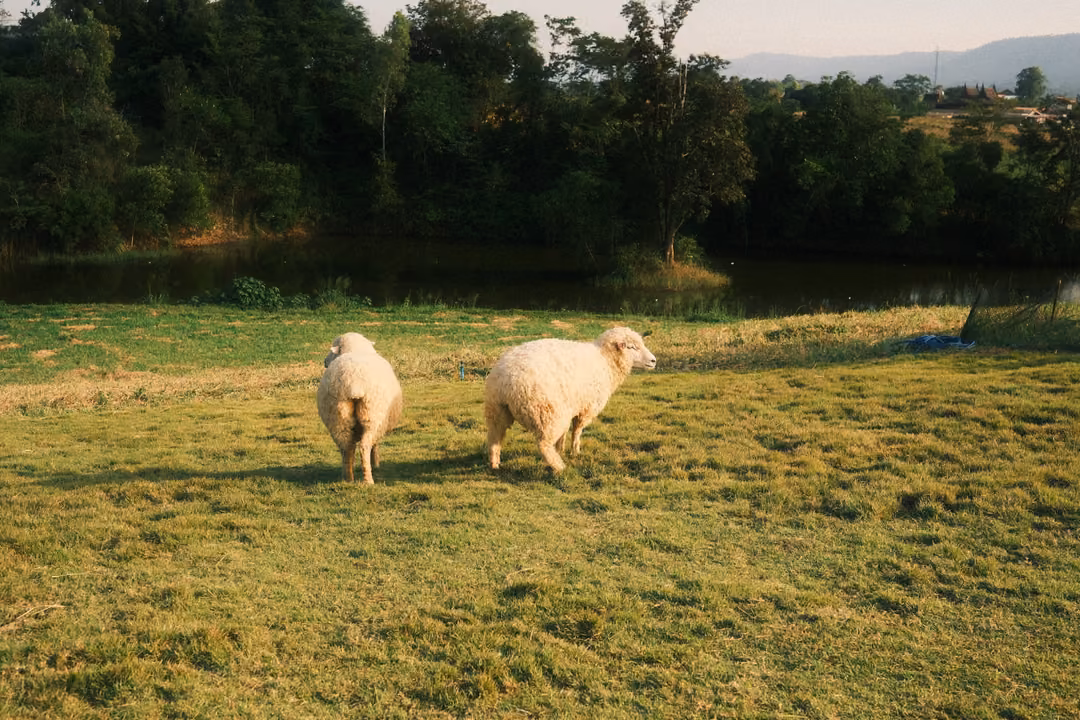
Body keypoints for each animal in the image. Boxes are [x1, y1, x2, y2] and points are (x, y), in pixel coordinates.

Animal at [316, 332, 403, 484]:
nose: (324, 361)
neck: (355, 349)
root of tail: (353, 382)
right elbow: (375, 445)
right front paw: (376, 463)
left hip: (338, 418)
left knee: (347, 447)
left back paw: (348, 478)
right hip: (372, 416)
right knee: (365, 446)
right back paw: (368, 479)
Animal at [484, 326, 656, 472]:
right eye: (631, 347)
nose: (654, 361)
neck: (605, 361)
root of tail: (506, 380)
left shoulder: (570, 406)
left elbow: (565, 432)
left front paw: (561, 448)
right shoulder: (585, 408)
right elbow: (577, 430)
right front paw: (575, 451)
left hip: (497, 410)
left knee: (494, 438)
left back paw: (494, 464)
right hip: (547, 412)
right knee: (543, 444)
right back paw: (558, 466)